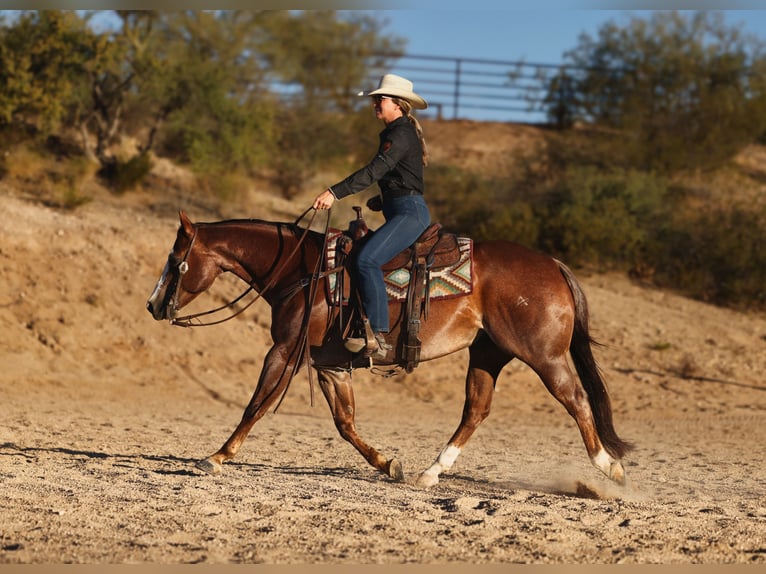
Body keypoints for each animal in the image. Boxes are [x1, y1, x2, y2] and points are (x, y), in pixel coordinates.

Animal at [146, 210, 632, 488]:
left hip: (543, 356)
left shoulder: (283, 352)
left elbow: (256, 405)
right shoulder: (329, 364)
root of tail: (553, 265)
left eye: (175, 260)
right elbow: (345, 423)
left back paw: (609, 468)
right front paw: (388, 464)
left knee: (576, 400)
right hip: (488, 353)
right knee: (476, 410)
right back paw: (429, 473)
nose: (153, 305)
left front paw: (216, 457)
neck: (303, 273)